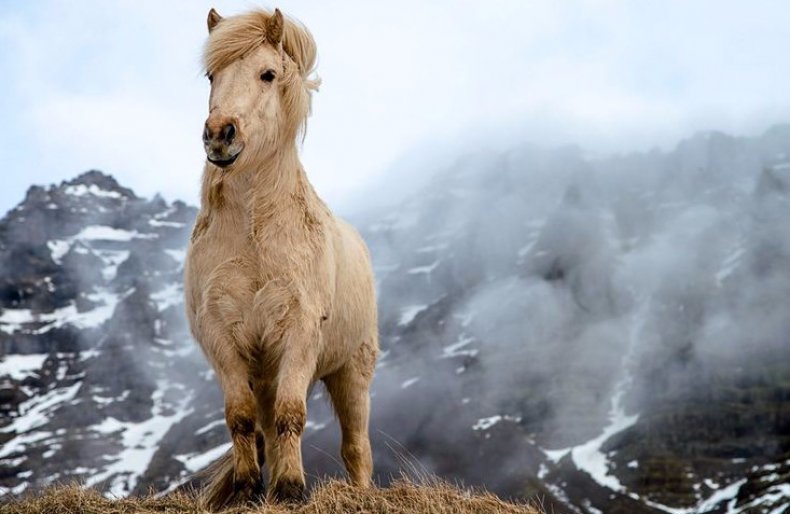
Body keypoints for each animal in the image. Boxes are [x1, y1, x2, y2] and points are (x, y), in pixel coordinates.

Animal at [187, 8, 382, 508]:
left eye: (268, 74)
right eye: (211, 75)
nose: (219, 135)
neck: (255, 234)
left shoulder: (299, 332)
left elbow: (291, 414)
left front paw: (292, 490)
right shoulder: (223, 337)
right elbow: (241, 418)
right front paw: (245, 489)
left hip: (352, 371)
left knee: (356, 446)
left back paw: (357, 490)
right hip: (266, 372)